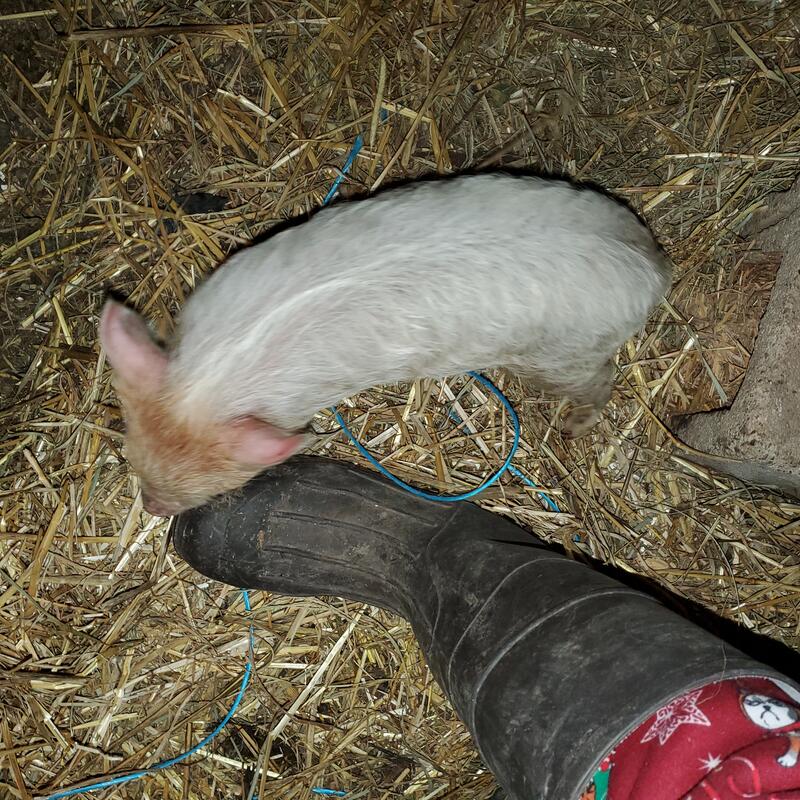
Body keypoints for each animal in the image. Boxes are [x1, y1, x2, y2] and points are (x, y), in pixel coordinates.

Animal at [99, 171, 672, 516]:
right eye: (130, 449)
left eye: (215, 487)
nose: (151, 507)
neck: (209, 379)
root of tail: (651, 263)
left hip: (565, 353)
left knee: (601, 381)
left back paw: (573, 427)